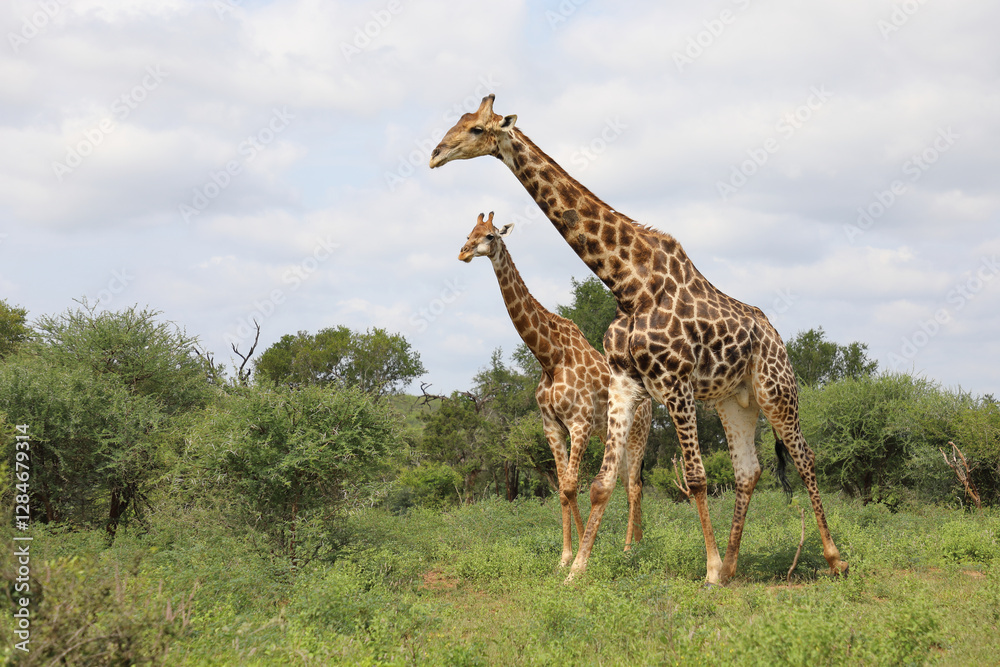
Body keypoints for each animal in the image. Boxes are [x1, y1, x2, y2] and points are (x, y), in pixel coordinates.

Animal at [459, 211, 652, 567]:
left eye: (490, 235)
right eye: (468, 233)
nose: (463, 252)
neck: (549, 356)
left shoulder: (578, 423)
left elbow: (571, 486)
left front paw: (582, 552)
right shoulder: (552, 427)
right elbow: (562, 488)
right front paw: (566, 556)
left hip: (637, 433)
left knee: (634, 486)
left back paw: (629, 550)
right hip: (611, 433)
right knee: (627, 483)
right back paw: (638, 542)